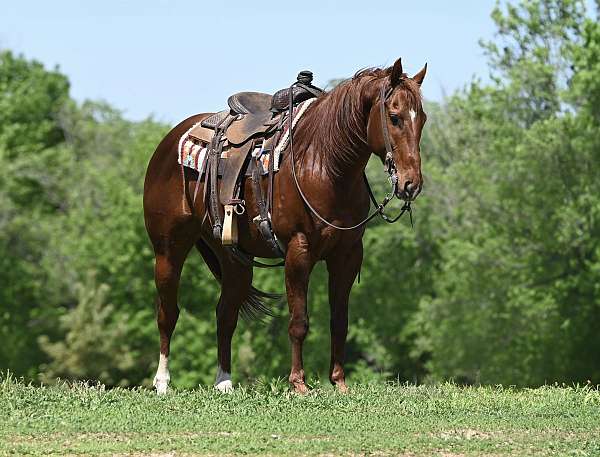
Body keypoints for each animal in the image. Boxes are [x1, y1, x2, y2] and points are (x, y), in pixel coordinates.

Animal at [144, 57, 426, 392]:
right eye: (395, 117)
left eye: (422, 118)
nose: (411, 184)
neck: (324, 164)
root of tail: (170, 141)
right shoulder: (298, 250)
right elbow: (298, 321)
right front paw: (298, 384)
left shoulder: (347, 254)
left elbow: (339, 321)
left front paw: (339, 382)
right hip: (168, 250)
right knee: (168, 312)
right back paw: (162, 382)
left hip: (234, 259)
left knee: (225, 314)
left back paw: (224, 382)